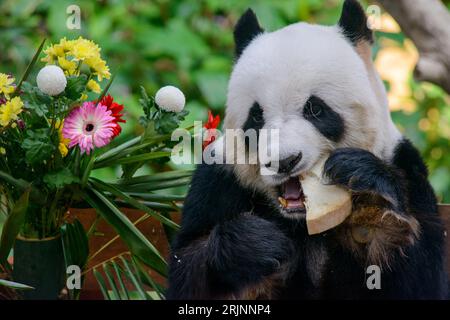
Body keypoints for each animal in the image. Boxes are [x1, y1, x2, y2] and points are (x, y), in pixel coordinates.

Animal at [167, 0, 448, 300]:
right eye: (256, 116)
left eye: (315, 109)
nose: (283, 161)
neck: (300, 222)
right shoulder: (218, 179)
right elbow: (186, 268)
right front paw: (252, 244)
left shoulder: (405, 166)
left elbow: (422, 278)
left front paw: (371, 198)